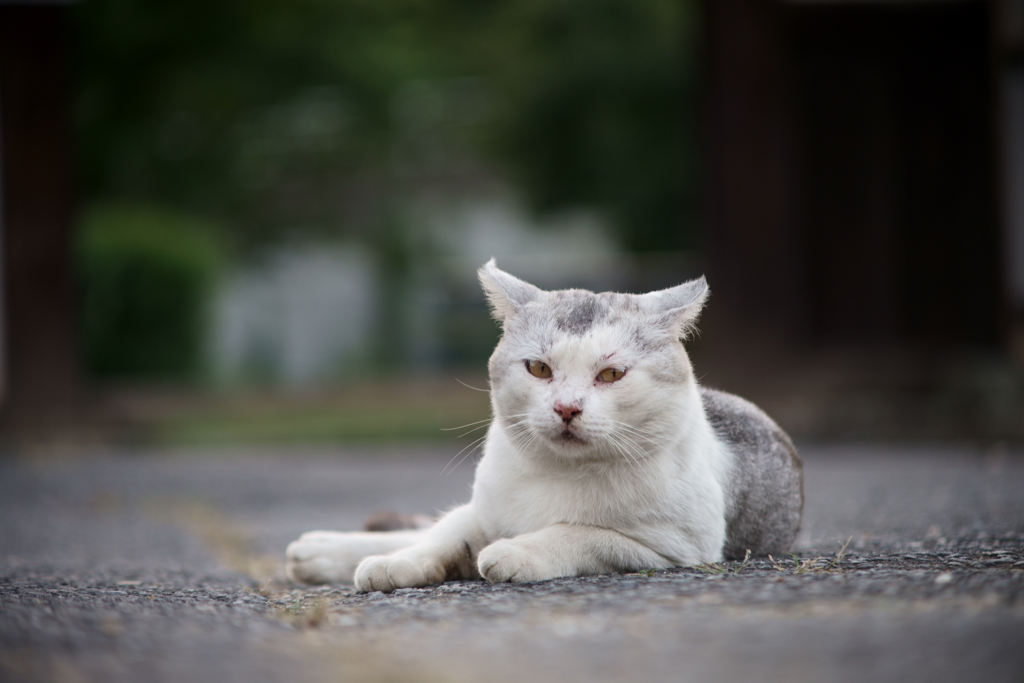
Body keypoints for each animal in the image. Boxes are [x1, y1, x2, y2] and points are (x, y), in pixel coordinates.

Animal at [284, 259, 802, 589]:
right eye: (539, 369)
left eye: (610, 374)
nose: (567, 408)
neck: (560, 473)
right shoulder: (484, 511)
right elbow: (445, 536)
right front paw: (398, 564)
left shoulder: (673, 549)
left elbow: (580, 533)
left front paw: (515, 551)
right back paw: (324, 550)